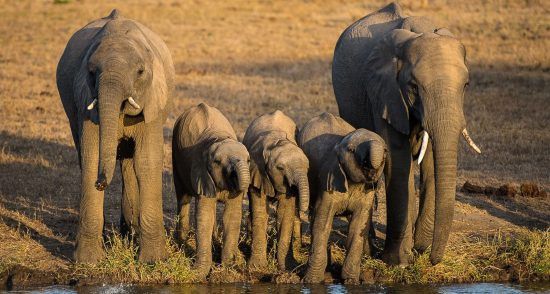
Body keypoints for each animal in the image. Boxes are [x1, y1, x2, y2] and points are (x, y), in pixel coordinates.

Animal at [56, 9, 174, 262]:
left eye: (140, 72)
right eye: (92, 72)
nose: (100, 183)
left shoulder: (153, 101)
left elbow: (147, 161)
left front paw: (153, 261)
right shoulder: (85, 101)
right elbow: (91, 159)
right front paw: (88, 262)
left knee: (131, 162)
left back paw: (130, 235)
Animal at [174, 102, 251, 280]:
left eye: (249, 160)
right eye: (217, 161)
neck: (220, 137)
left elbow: (232, 217)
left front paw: (228, 268)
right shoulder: (201, 171)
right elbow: (205, 217)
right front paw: (200, 272)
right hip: (175, 154)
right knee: (182, 197)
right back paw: (180, 242)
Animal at [244, 110, 312, 272]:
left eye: (308, 168)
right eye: (280, 168)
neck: (276, 142)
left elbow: (285, 212)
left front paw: (287, 267)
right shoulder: (257, 170)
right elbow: (260, 210)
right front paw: (256, 268)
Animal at [298, 113, 388, 284]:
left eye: (386, 151)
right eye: (351, 150)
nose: (372, 169)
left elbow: (358, 225)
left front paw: (351, 281)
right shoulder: (328, 180)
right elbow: (322, 222)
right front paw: (311, 282)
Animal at [332, 2, 484, 266]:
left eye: (466, 86)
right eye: (413, 87)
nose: (433, 259)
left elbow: (432, 160)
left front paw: (420, 249)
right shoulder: (384, 93)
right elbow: (398, 160)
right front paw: (400, 262)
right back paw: (371, 249)